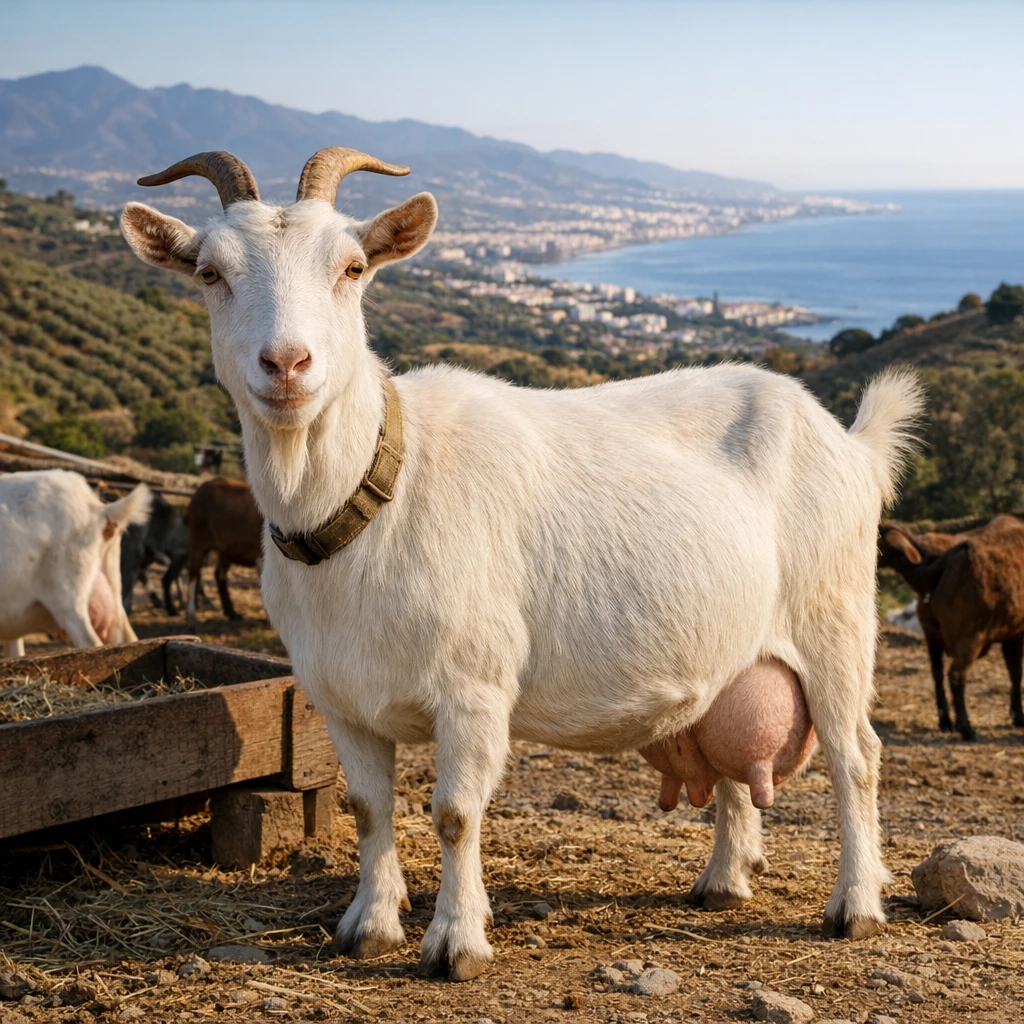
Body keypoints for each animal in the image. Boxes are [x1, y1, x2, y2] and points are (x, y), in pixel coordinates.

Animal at [184, 477, 263, 627]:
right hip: (198, 539)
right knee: (194, 572)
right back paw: (191, 612)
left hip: (225, 548)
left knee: (218, 574)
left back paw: (232, 613)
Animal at [879, 516, 1024, 740]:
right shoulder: (1014, 635)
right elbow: (1017, 673)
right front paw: (1019, 717)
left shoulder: (1011, 636)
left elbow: (1015, 672)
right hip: (971, 638)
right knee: (956, 675)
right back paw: (966, 727)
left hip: (933, 637)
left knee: (937, 674)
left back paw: (945, 721)